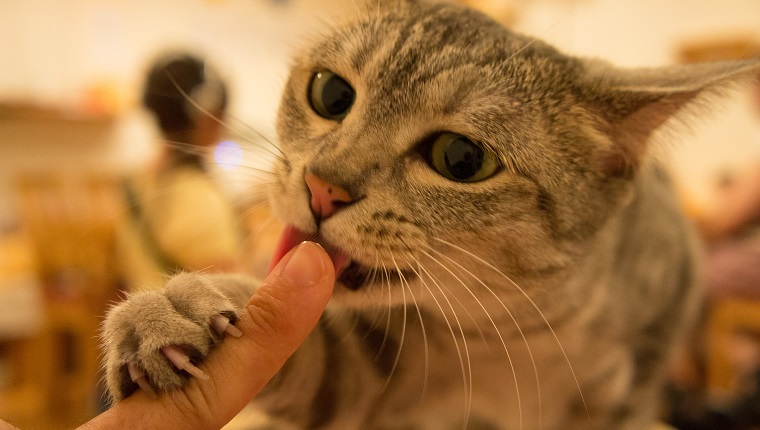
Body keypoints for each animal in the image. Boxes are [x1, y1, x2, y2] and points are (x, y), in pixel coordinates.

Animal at [101, 1, 760, 428]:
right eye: (331, 93)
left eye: (460, 158)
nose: (323, 187)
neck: (522, 340)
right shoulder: (373, 381)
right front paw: (178, 308)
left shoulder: (629, 388)